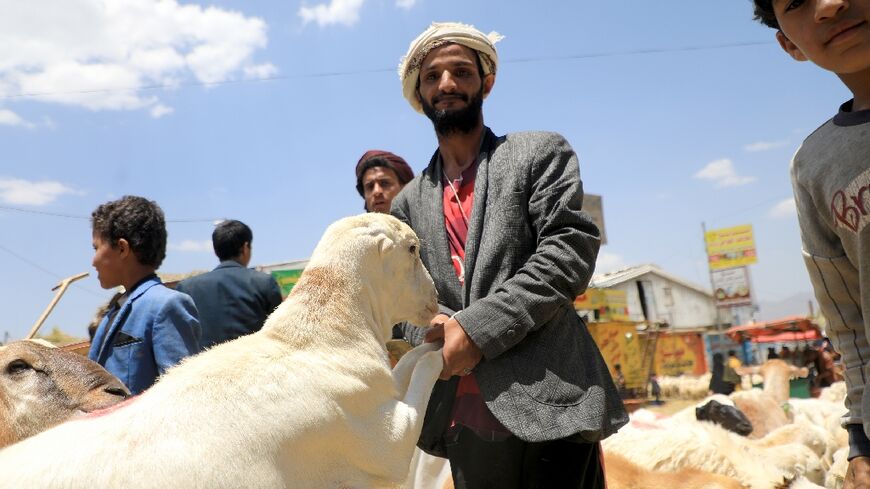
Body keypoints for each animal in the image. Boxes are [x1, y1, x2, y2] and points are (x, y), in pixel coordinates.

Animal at [0, 214, 446, 488]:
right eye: (412, 248)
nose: (437, 298)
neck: (317, 336)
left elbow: (405, 364)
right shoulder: (388, 440)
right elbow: (422, 367)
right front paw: (442, 343)